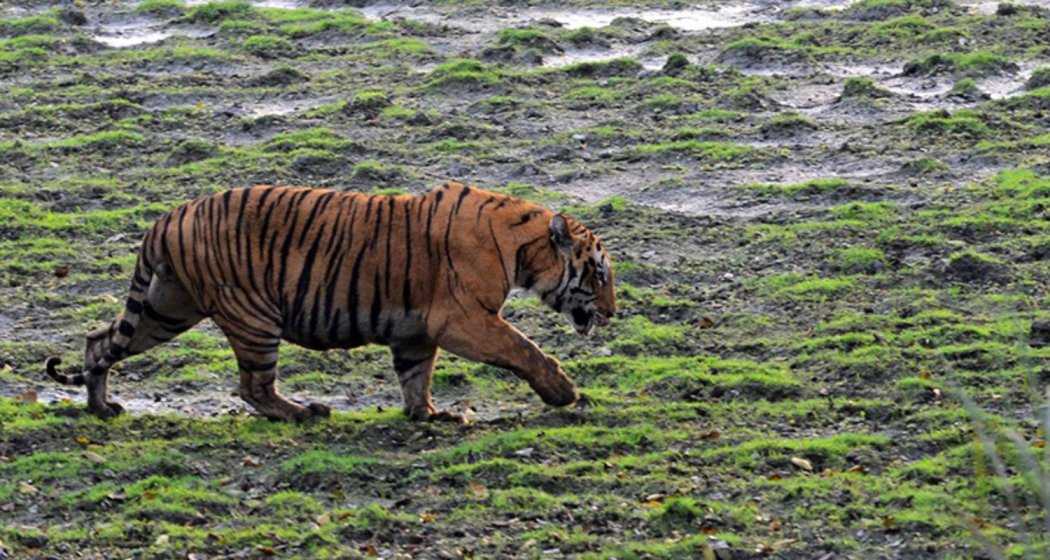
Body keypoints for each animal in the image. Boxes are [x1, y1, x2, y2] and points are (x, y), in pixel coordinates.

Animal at [45, 179, 613, 420]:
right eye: (600, 273)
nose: (612, 312)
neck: (524, 248)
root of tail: (167, 217)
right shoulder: (462, 319)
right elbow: (524, 348)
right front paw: (563, 391)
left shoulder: (417, 329)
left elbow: (415, 375)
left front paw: (428, 414)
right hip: (252, 317)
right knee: (253, 388)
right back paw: (303, 411)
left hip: (166, 307)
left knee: (99, 341)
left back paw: (101, 406)